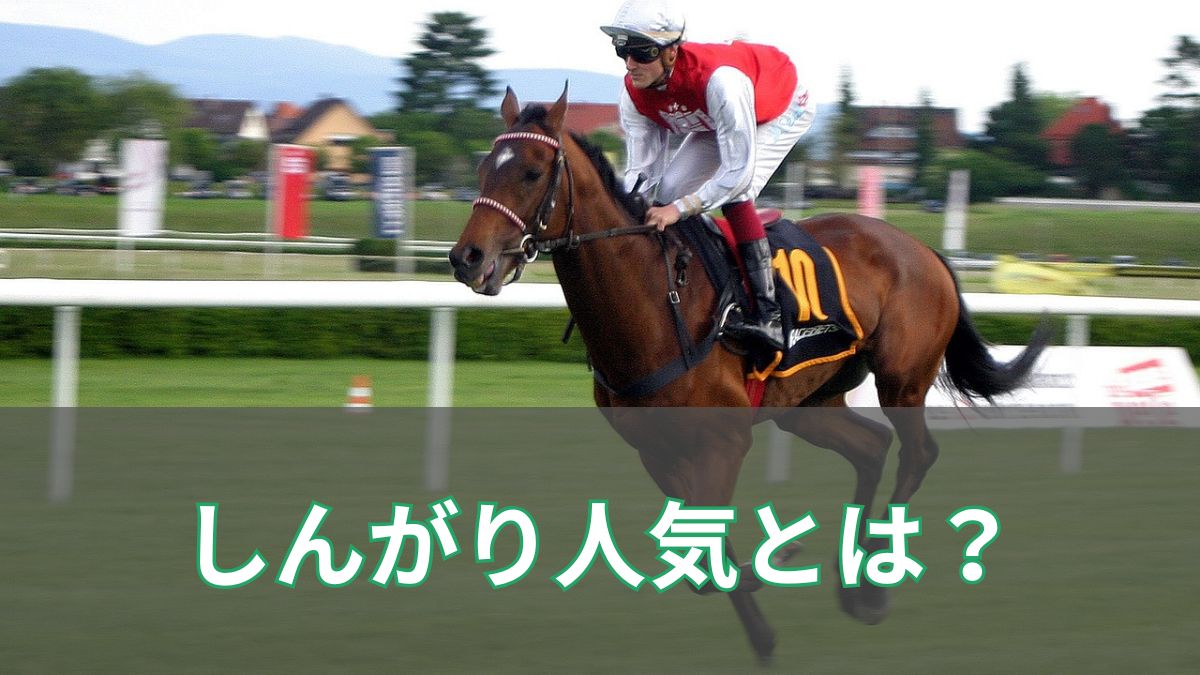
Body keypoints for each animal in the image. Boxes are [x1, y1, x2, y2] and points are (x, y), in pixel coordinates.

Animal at [449, 86, 1049, 664]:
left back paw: (871, 586)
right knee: (871, 448)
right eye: (482, 168)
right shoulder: (654, 449)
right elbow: (700, 554)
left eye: (531, 172)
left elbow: (709, 548)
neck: (655, 301)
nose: (466, 257)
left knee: (917, 453)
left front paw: (770, 588)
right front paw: (764, 596)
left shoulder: (724, 439)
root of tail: (926, 250)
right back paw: (850, 578)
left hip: (901, 378)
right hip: (808, 404)